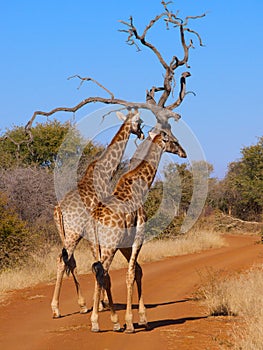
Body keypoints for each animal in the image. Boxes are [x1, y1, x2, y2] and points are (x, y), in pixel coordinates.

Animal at [50, 109, 145, 318]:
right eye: (139, 121)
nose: (142, 134)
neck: (105, 173)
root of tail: (58, 210)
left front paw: (99, 303)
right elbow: (99, 260)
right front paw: (102, 303)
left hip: (64, 233)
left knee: (69, 260)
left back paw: (82, 305)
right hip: (73, 233)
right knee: (62, 260)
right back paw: (56, 308)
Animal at [89, 127, 188, 332]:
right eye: (174, 141)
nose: (184, 153)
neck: (141, 188)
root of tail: (95, 218)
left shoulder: (125, 244)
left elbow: (138, 271)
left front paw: (142, 318)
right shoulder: (138, 237)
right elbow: (131, 273)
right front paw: (130, 322)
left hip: (96, 245)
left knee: (99, 273)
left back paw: (112, 321)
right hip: (109, 246)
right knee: (102, 273)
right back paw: (97, 322)